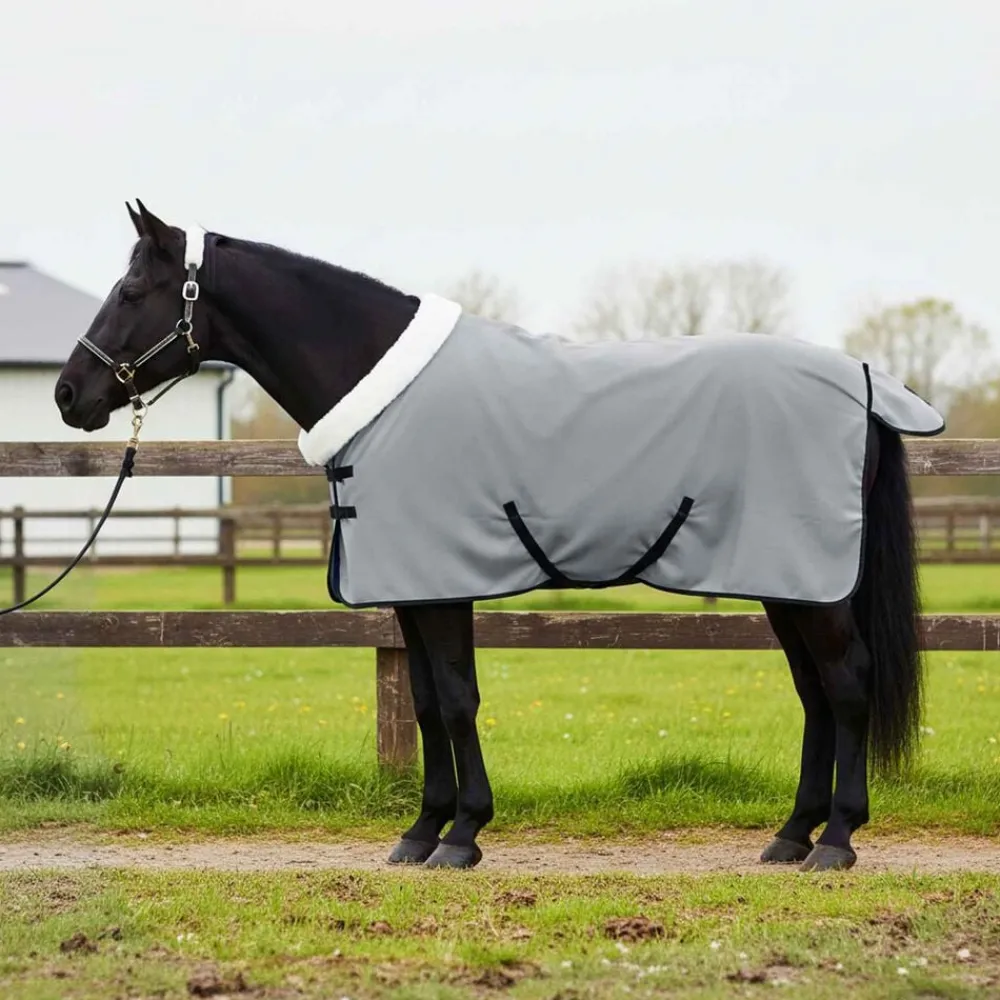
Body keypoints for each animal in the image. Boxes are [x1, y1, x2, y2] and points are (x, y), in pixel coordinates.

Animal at [55, 201, 932, 873]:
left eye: (131, 289)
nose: (69, 393)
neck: (381, 390)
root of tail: (864, 382)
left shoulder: (442, 585)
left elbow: (455, 699)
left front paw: (463, 835)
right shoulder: (411, 589)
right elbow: (423, 704)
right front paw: (422, 832)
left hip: (814, 585)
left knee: (847, 682)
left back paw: (837, 840)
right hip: (788, 581)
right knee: (815, 692)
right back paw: (791, 836)